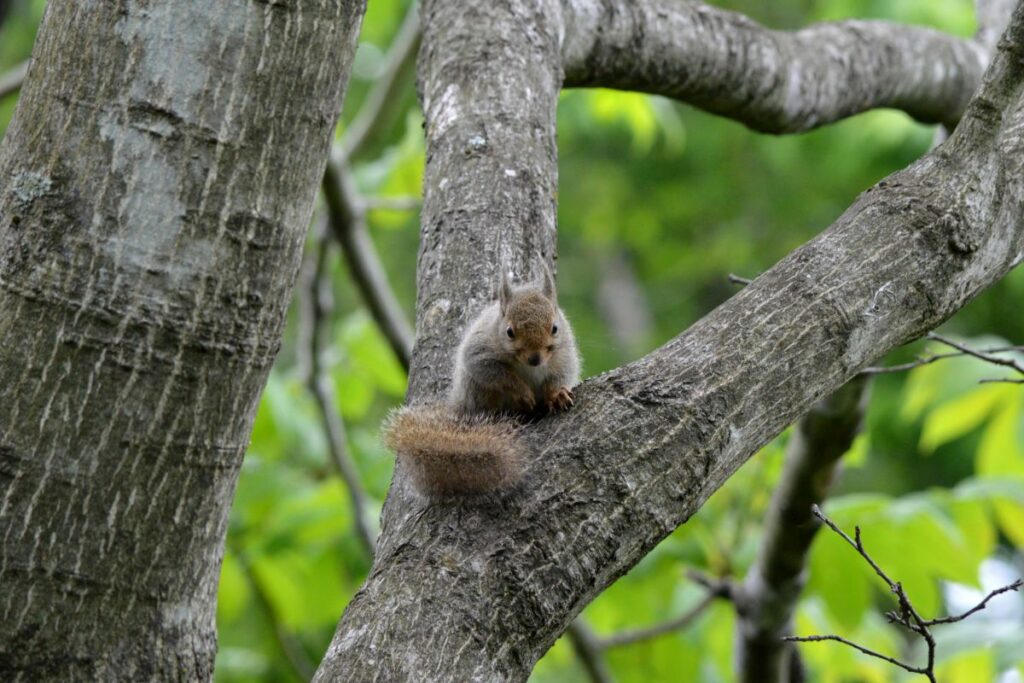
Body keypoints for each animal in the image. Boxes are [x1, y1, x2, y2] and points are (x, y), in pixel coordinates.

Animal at [383, 262, 580, 497]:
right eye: (509, 332)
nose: (535, 358)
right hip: (478, 392)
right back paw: (504, 421)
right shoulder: (480, 353)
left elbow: (561, 375)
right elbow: (495, 373)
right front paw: (522, 392)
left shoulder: (564, 354)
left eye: (555, 328)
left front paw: (557, 395)